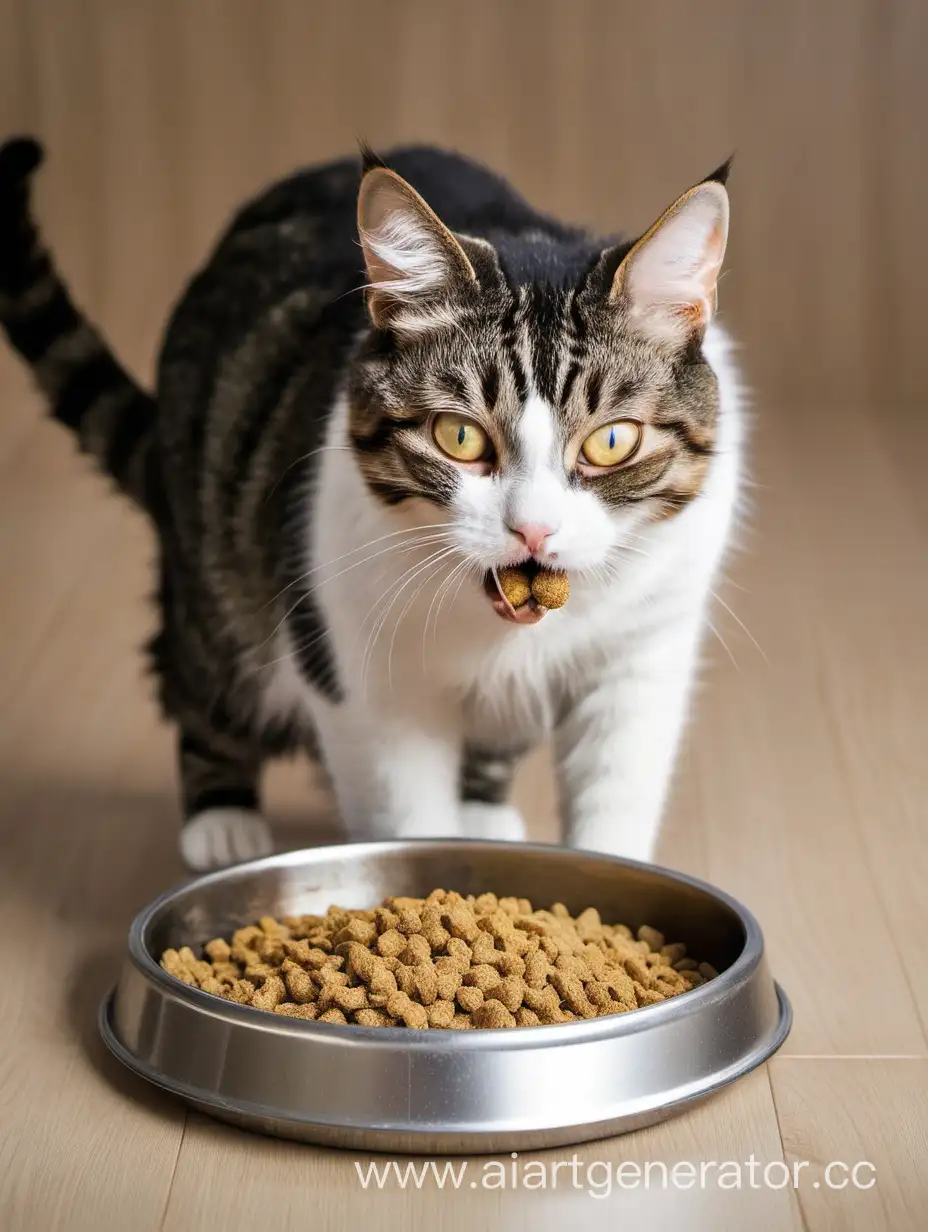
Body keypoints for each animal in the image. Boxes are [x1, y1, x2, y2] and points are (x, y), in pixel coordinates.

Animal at [0, 137, 739, 867]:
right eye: (459, 436)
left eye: (612, 441)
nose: (532, 530)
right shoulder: (360, 669)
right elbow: (405, 809)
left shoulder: (641, 654)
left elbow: (617, 794)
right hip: (215, 572)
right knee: (201, 676)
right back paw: (221, 820)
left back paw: (483, 815)